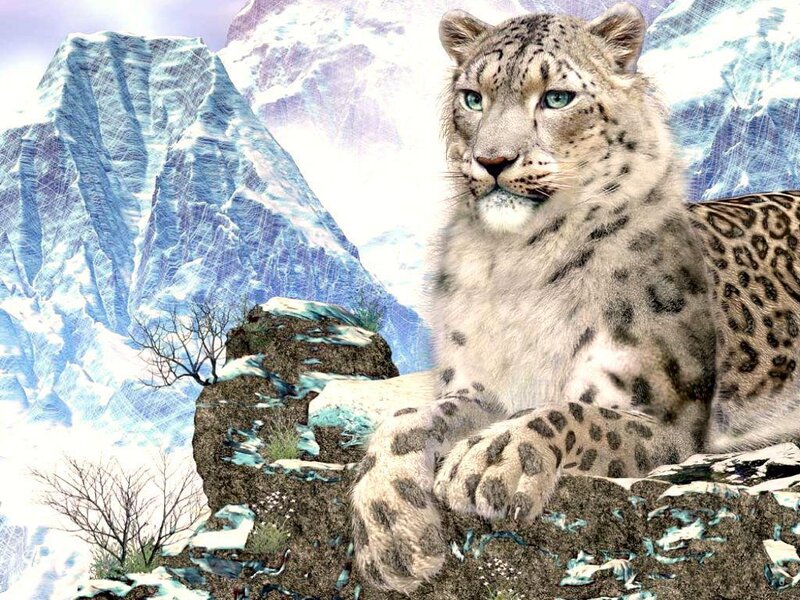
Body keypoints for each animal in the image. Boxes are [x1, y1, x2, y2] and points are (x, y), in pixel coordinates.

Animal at [350, 2, 800, 593]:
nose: (492, 160)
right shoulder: (478, 385)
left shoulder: (661, 416)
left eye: (557, 98)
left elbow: (565, 410)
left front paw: (489, 461)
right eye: (473, 98)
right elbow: (407, 420)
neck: (517, 265)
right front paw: (393, 538)